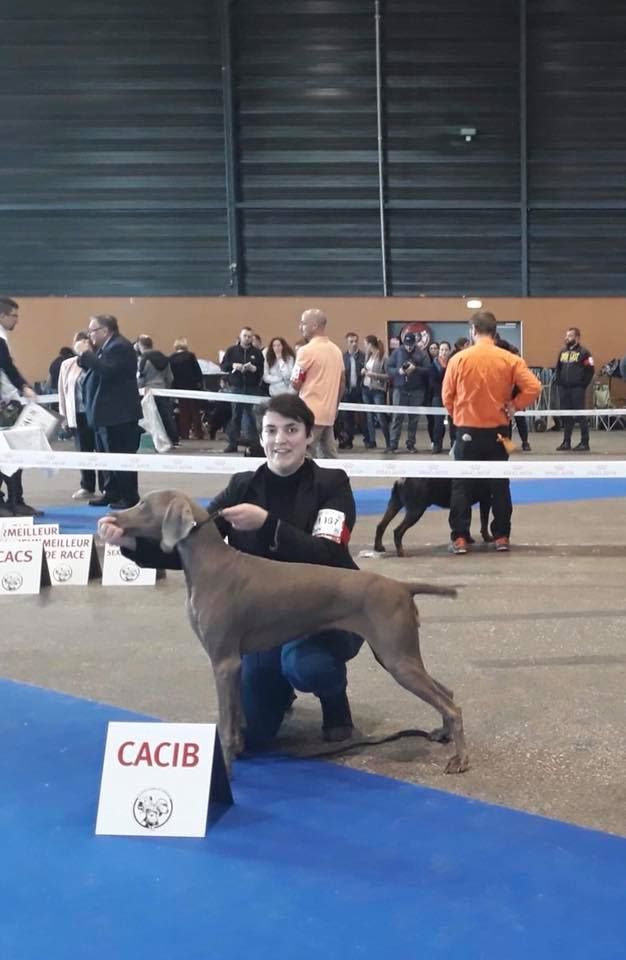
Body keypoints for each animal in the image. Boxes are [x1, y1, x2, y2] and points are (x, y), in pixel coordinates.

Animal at [109, 492, 466, 776]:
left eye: (143, 504)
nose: (111, 518)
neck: (209, 564)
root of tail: (402, 585)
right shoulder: (233, 664)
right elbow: (237, 717)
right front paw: (239, 749)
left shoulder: (223, 661)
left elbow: (225, 723)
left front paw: (226, 766)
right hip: (395, 654)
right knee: (447, 691)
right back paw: (442, 733)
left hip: (396, 658)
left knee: (453, 706)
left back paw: (459, 759)